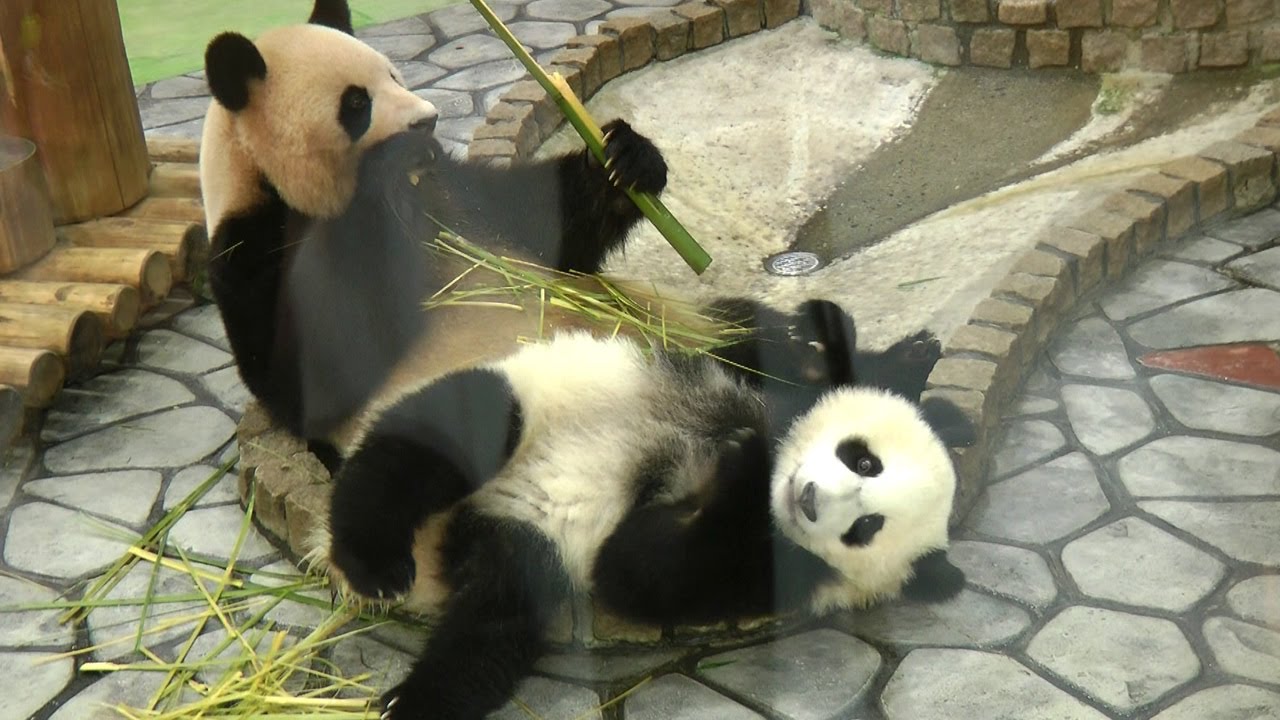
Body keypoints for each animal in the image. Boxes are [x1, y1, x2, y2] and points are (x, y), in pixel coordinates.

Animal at [199, 0, 670, 459]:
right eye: (356, 103)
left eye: (393, 74)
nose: (427, 120)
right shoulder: (249, 252)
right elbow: (317, 372)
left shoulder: (453, 190)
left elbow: (548, 229)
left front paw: (625, 160)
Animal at [309, 304, 975, 720]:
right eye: (864, 461)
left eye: (866, 528)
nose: (807, 498)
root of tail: (443, 538)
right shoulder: (745, 383)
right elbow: (772, 359)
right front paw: (906, 356)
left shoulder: (774, 573)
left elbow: (638, 569)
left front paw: (742, 469)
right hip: (522, 404)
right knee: (435, 440)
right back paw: (370, 561)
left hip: (526, 549)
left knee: (494, 624)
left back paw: (415, 699)